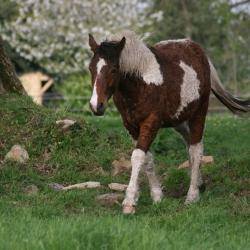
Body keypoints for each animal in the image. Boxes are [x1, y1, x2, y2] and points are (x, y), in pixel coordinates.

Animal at [87, 30, 248, 214]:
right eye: (90, 68)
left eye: (114, 70)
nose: (96, 106)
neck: (141, 83)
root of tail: (197, 49)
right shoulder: (131, 126)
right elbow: (147, 158)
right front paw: (157, 196)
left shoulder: (151, 122)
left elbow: (137, 156)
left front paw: (129, 202)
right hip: (179, 119)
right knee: (189, 144)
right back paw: (199, 183)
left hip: (199, 113)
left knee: (196, 149)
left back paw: (192, 196)